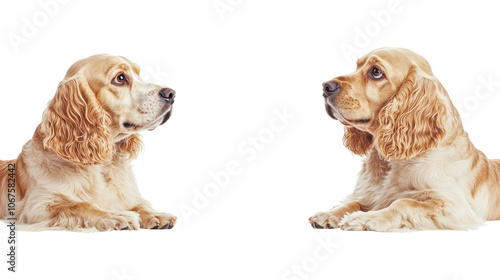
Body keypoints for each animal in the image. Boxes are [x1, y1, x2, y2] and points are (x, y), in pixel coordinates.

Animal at [308, 48, 500, 231]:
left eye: (376, 72)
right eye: (356, 66)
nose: (326, 87)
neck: (391, 162)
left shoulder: (454, 206)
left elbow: (403, 203)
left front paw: (366, 218)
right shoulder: (368, 194)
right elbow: (352, 202)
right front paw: (329, 214)